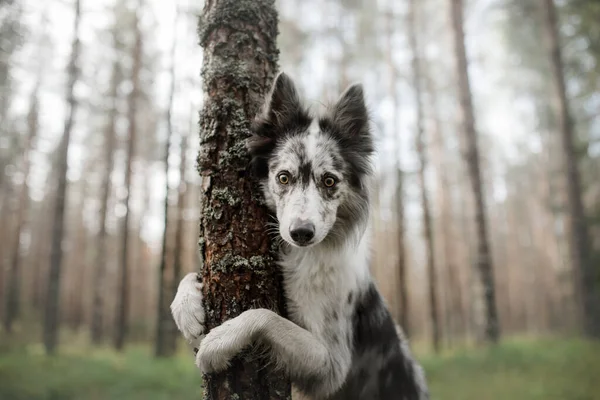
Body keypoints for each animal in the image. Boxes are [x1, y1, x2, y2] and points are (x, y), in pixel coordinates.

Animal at [171, 72, 428, 400]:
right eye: (283, 177)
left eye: (329, 181)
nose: (301, 233)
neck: (305, 255)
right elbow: (191, 277)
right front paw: (186, 309)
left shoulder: (331, 367)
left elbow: (262, 315)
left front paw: (217, 344)